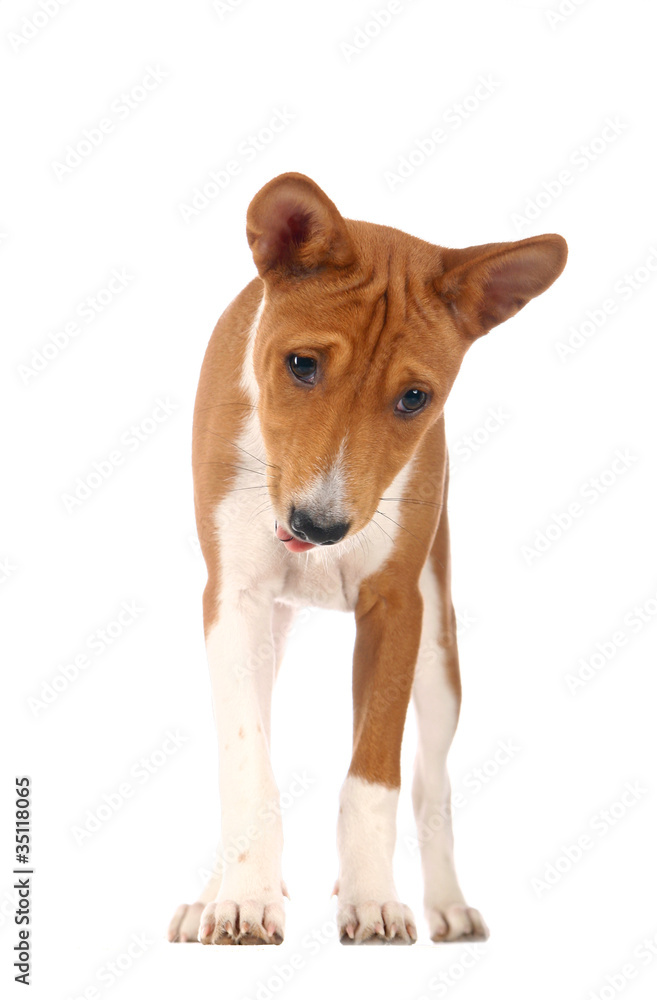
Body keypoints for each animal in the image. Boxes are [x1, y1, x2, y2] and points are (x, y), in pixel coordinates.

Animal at [167, 172, 568, 944]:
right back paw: (213, 893)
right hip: (267, 636)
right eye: (301, 364)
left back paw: (444, 905)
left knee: (432, 785)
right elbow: (247, 763)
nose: (319, 526)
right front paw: (244, 900)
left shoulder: (395, 608)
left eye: (414, 398)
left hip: (437, 653)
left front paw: (373, 901)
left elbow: (373, 780)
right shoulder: (232, 598)